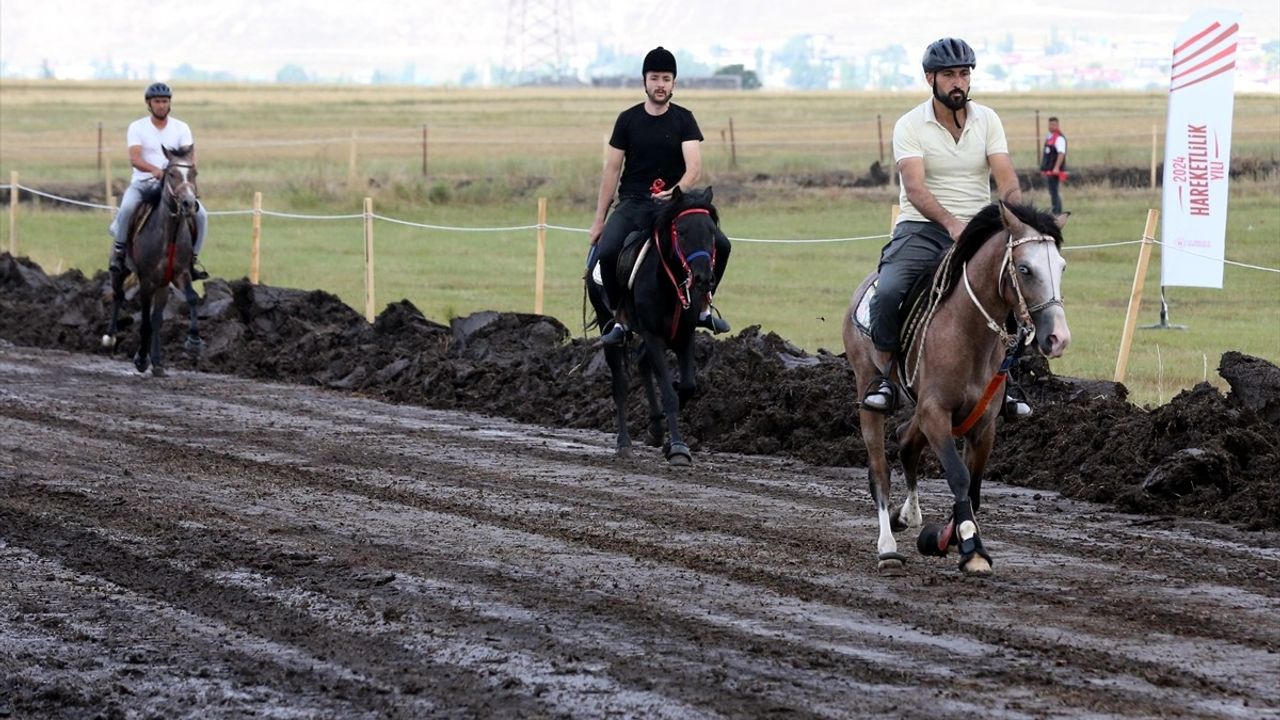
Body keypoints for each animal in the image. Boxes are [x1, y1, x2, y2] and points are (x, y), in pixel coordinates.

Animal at [102, 142, 202, 371]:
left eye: (194, 173)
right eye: (172, 174)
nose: (188, 204)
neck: (170, 234)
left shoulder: (180, 274)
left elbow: (192, 298)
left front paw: (193, 340)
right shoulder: (146, 280)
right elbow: (145, 322)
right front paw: (140, 359)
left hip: (163, 284)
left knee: (157, 319)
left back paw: (157, 362)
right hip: (120, 272)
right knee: (118, 295)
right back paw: (110, 337)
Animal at [586, 185, 721, 466]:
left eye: (711, 232)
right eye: (681, 231)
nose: (703, 278)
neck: (669, 283)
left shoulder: (684, 335)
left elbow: (687, 387)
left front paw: (667, 439)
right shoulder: (653, 334)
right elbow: (669, 393)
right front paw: (678, 447)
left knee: (641, 362)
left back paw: (657, 429)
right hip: (609, 324)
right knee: (620, 383)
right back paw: (624, 443)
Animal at [844, 202, 1064, 571]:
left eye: (1062, 266)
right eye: (1025, 268)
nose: (1058, 337)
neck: (966, 333)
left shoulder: (983, 423)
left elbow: (973, 487)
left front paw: (952, 537)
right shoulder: (935, 412)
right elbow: (959, 476)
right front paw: (971, 547)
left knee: (906, 440)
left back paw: (907, 515)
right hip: (867, 388)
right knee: (880, 470)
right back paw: (888, 547)